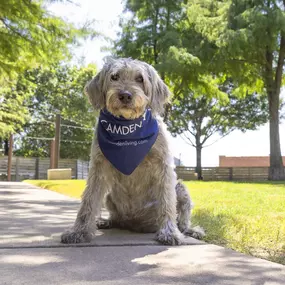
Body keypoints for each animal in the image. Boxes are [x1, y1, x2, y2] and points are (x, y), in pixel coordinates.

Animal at [60, 57, 204, 244]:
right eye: (114, 76)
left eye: (140, 79)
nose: (125, 95)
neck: (127, 126)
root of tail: (133, 224)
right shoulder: (98, 168)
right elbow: (88, 202)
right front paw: (80, 231)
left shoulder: (164, 168)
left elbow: (167, 202)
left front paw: (169, 232)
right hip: (110, 197)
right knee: (115, 218)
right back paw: (105, 221)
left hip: (181, 189)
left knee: (182, 220)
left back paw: (189, 230)